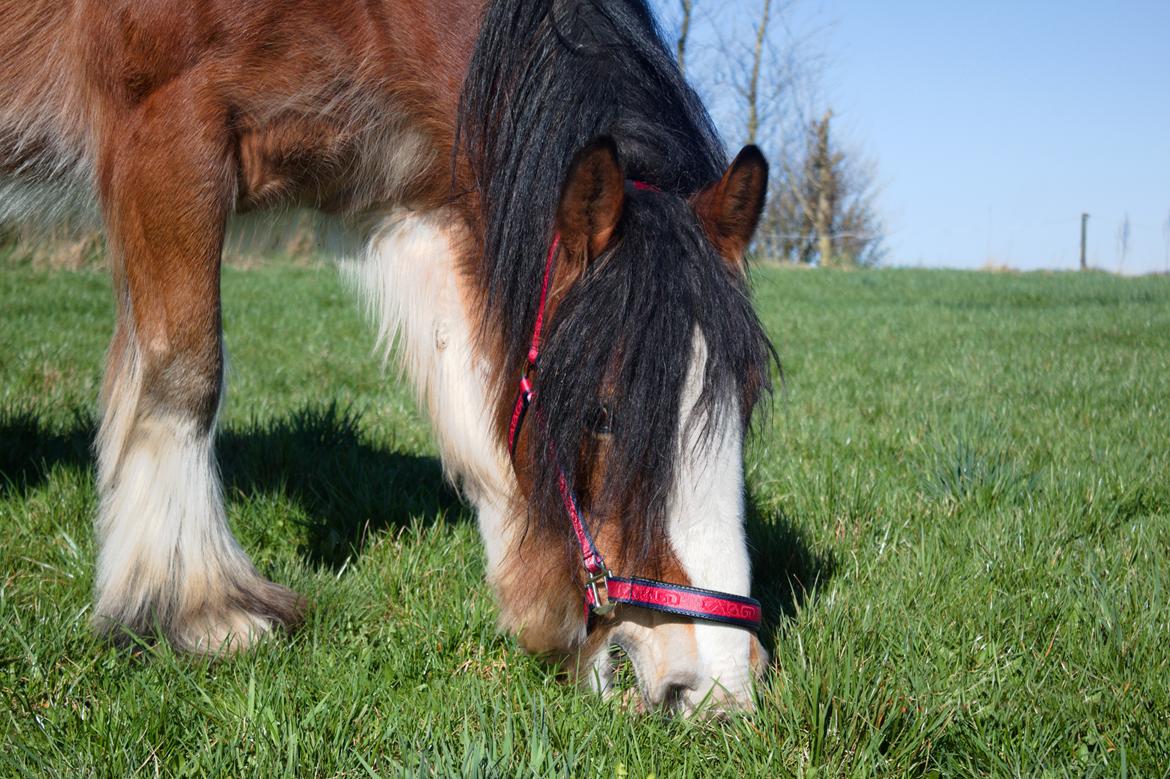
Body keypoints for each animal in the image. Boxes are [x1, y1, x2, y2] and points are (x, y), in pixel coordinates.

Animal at [9, 0, 781, 711]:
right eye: (601, 414)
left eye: (741, 406)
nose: (717, 685)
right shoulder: (166, 128)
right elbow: (184, 373)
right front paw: (197, 610)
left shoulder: (402, 199)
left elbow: (473, 411)